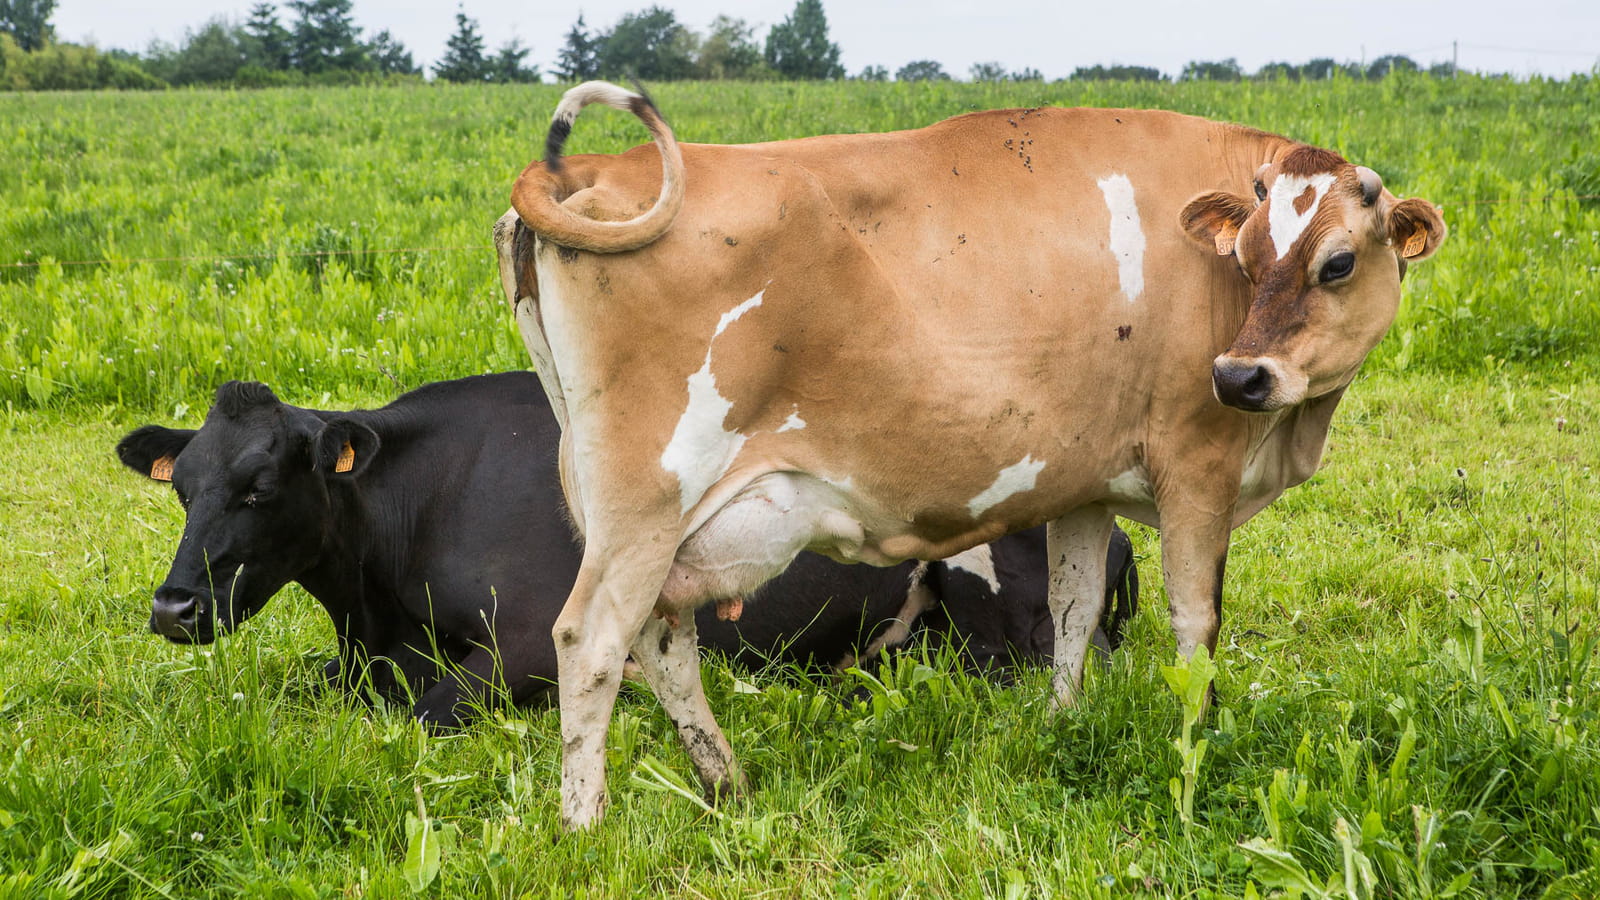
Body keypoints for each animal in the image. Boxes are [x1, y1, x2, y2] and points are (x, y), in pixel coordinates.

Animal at [114, 373, 1139, 726]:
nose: (172, 607)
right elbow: (304, 684)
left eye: (260, 487)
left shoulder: (537, 635)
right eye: (182, 485)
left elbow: (418, 713)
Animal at [495, 81, 1446, 827]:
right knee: (593, 639)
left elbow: (1072, 609)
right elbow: (1196, 622)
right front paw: (1199, 743)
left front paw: (1062, 725)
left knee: (662, 639)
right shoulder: (1198, 467)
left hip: (639, 507)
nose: (1241, 376)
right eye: (1247, 258)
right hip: (647, 493)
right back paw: (586, 824)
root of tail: (588, 171)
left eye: (1337, 263)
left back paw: (727, 784)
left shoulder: (1081, 482)